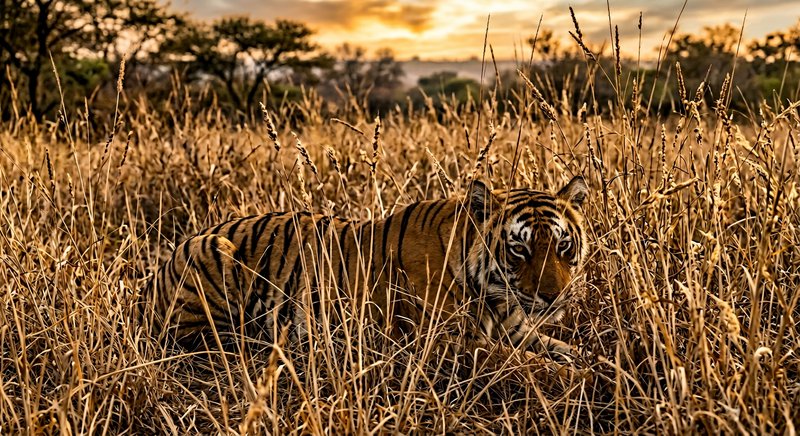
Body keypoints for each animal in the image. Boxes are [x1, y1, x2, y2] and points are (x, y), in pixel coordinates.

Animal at [142, 176, 589, 356]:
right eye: (519, 250)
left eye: (563, 246)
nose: (554, 297)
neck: (495, 295)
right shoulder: (448, 343)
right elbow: (532, 366)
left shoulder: (519, 331)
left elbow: (574, 353)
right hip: (211, 254)